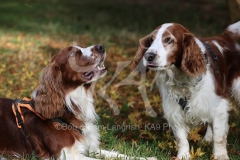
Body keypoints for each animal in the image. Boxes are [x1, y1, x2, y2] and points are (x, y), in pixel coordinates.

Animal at [0, 44, 156, 160]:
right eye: (73, 53)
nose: (101, 46)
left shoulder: (90, 147)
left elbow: (118, 154)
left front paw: (148, 158)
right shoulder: (67, 155)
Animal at [133, 21, 240, 160]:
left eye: (168, 40)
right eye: (151, 39)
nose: (148, 56)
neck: (182, 80)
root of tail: (226, 37)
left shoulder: (218, 105)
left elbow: (219, 137)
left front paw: (220, 156)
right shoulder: (174, 111)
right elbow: (181, 139)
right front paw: (183, 155)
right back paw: (207, 138)